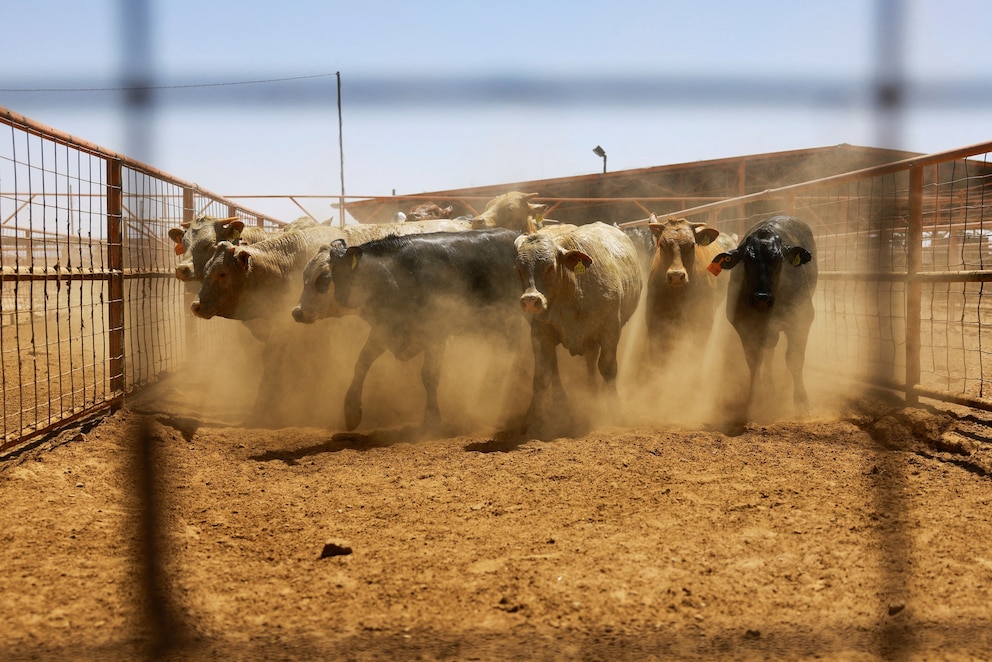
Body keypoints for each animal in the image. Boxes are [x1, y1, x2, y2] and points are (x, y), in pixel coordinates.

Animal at [294, 228, 524, 431]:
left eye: (324, 278)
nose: (297, 312)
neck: (395, 275)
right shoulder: (386, 328)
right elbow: (362, 362)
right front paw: (351, 412)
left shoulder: (435, 333)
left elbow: (429, 375)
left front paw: (431, 419)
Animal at [514, 222, 643, 431]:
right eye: (519, 268)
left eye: (550, 266)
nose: (531, 300)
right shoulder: (540, 333)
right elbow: (542, 376)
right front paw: (531, 419)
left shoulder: (610, 330)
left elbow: (608, 368)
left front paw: (615, 410)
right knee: (556, 367)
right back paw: (561, 404)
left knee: (591, 362)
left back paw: (592, 393)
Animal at [709, 215, 817, 421]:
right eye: (747, 260)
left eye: (779, 259)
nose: (761, 297)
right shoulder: (744, 326)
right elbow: (754, 361)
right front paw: (753, 400)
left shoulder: (802, 318)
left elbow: (794, 359)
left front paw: (802, 402)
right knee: (769, 351)